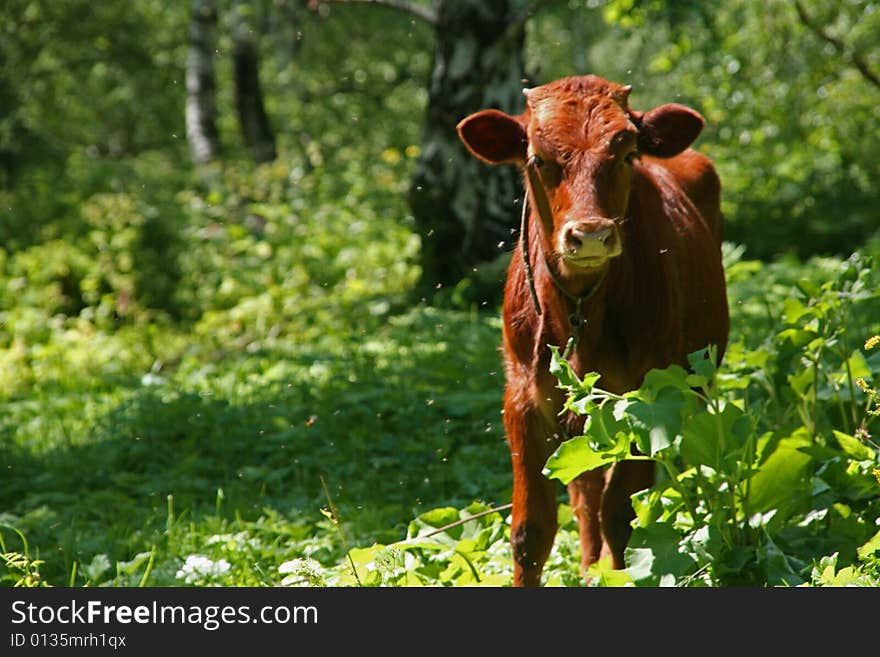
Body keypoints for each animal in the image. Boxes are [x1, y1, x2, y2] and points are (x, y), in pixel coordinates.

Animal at [454, 75, 728, 584]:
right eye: (538, 159)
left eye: (626, 154)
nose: (591, 234)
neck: (581, 306)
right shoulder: (524, 398)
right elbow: (531, 529)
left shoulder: (647, 395)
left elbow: (620, 513)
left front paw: (618, 572)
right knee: (582, 488)